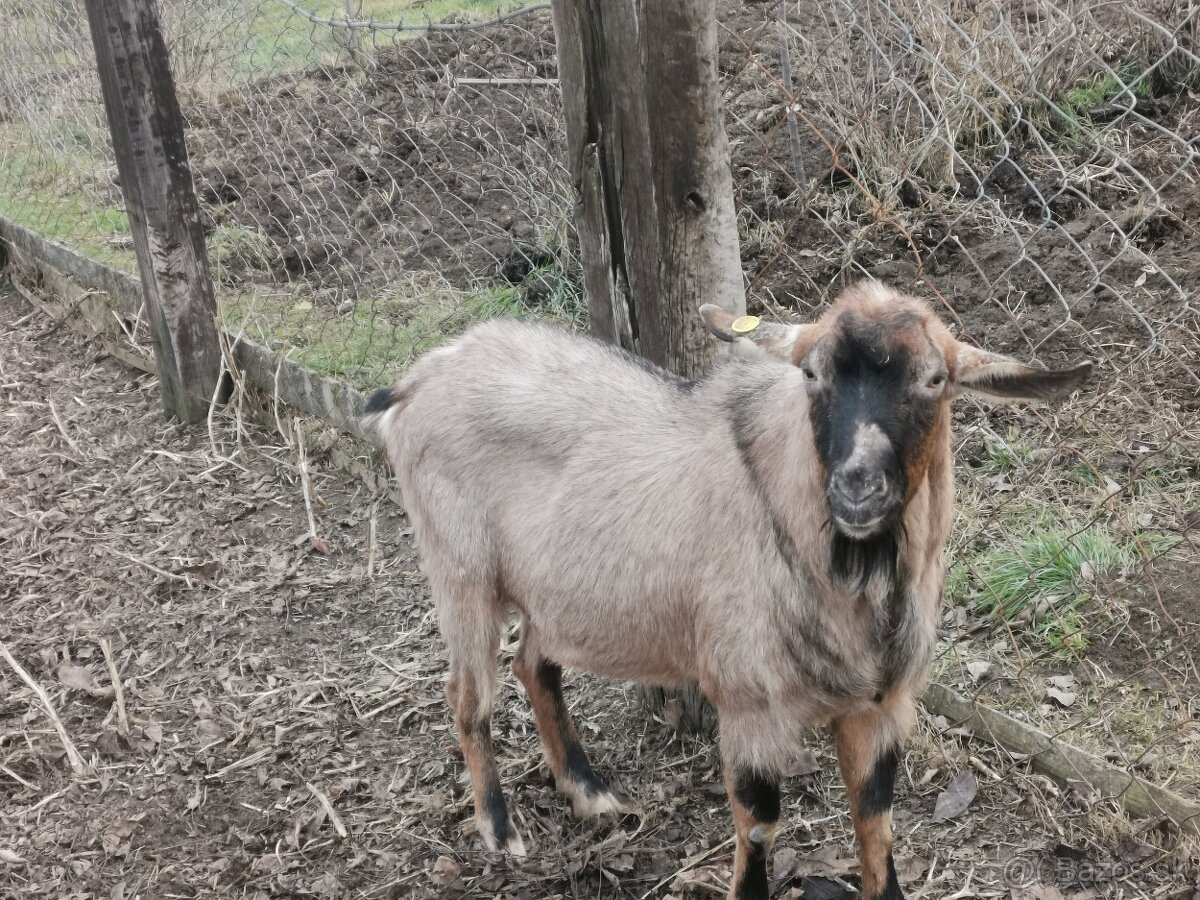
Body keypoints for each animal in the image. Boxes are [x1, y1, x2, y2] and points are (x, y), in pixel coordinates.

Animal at [364, 282, 1089, 900]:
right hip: (460, 571)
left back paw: (590, 793)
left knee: (534, 664)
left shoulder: (883, 704)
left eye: (934, 380)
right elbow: (761, 824)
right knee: (467, 695)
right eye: (812, 375)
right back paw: (500, 828)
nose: (856, 488)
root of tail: (417, 379)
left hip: (555, 588)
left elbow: (875, 820)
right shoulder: (748, 704)